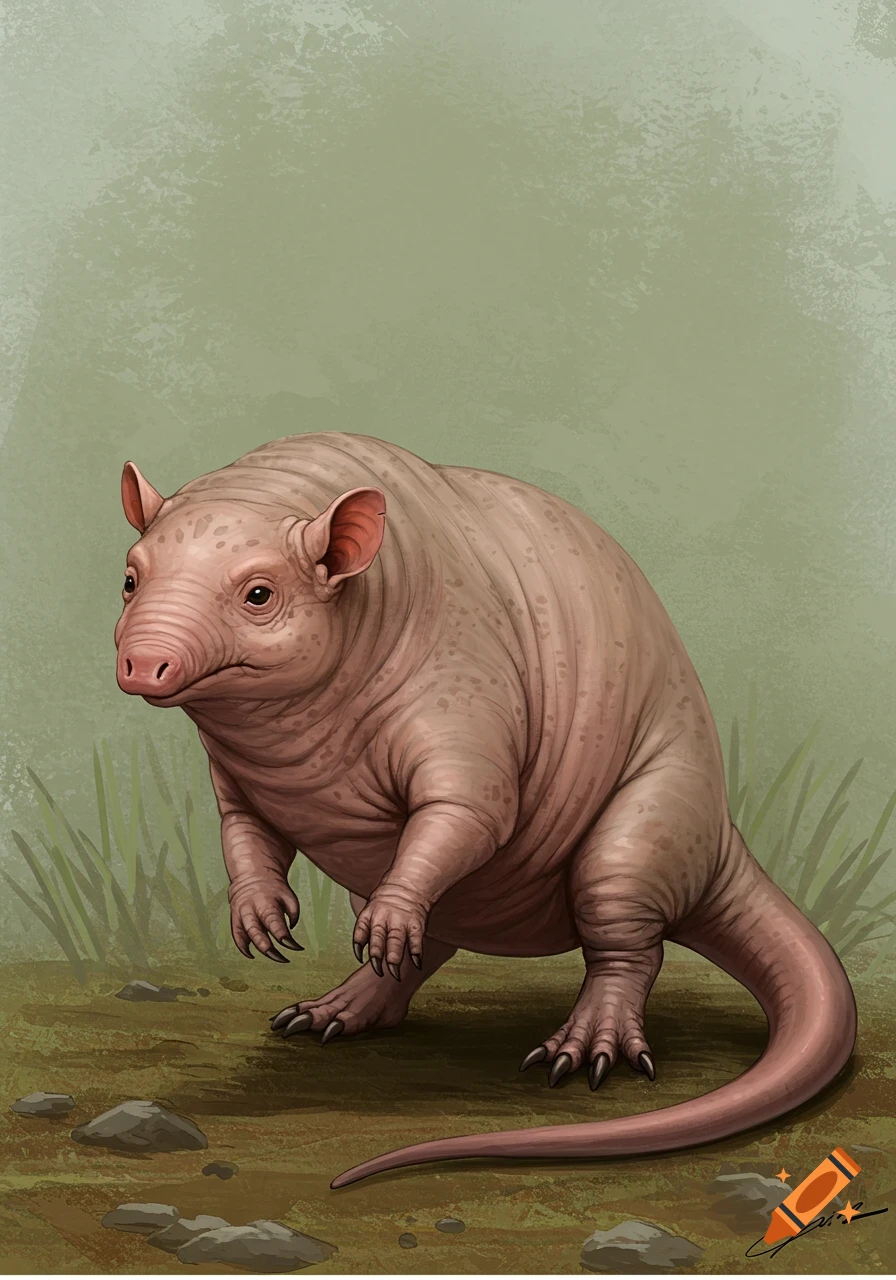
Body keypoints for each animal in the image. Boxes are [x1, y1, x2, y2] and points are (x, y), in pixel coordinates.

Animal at [114, 432, 856, 1189]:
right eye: (130, 579)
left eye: (259, 593)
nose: (142, 664)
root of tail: (724, 841)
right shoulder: (238, 772)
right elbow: (244, 831)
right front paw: (260, 915)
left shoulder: (461, 685)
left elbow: (468, 807)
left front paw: (389, 916)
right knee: (426, 946)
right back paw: (342, 1007)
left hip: (653, 818)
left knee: (623, 933)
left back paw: (588, 1039)